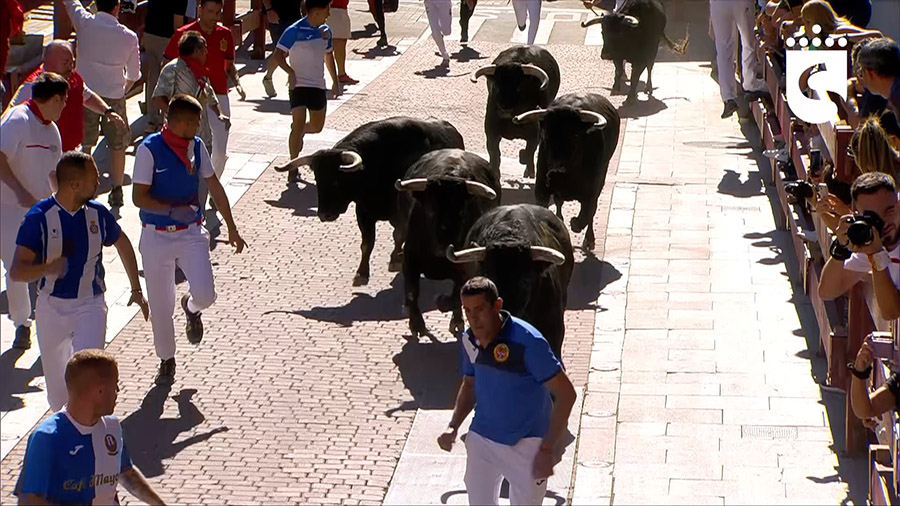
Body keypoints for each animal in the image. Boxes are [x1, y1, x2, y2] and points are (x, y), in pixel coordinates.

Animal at [274, 116, 464, 286]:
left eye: (337, 180)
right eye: (318, 179)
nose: (325, 214)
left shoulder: (401, 212)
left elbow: (398, 234)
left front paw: (395, 259)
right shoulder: (364, 212)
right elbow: (367, 243)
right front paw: (361, 274)